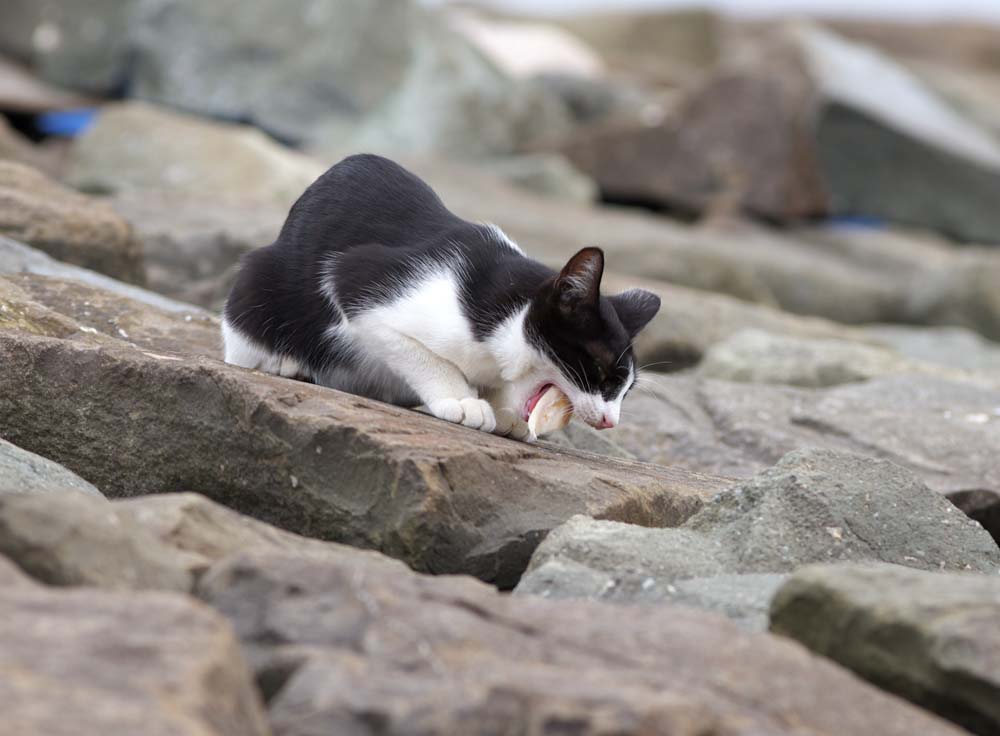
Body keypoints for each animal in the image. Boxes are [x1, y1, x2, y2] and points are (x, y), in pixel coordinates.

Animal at [222, 153, 660, 440]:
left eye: (626, 389)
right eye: (600, 369)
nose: (611, 421)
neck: (501, 317)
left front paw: (501, 407)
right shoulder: (360, 281)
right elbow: (421, 354)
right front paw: (461, 399)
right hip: (260, 279)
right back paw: (284, 361)